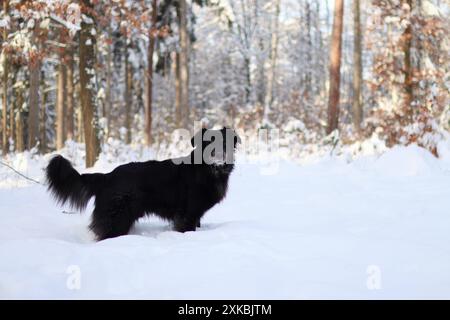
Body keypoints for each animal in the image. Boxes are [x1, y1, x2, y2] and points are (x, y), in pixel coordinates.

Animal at [46, 127, 239, 240]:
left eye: (224, 142)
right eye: (208, 143)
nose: (219, 155)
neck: (208, 171)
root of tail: (107, 176)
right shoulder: (187, 214)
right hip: (117, 218)